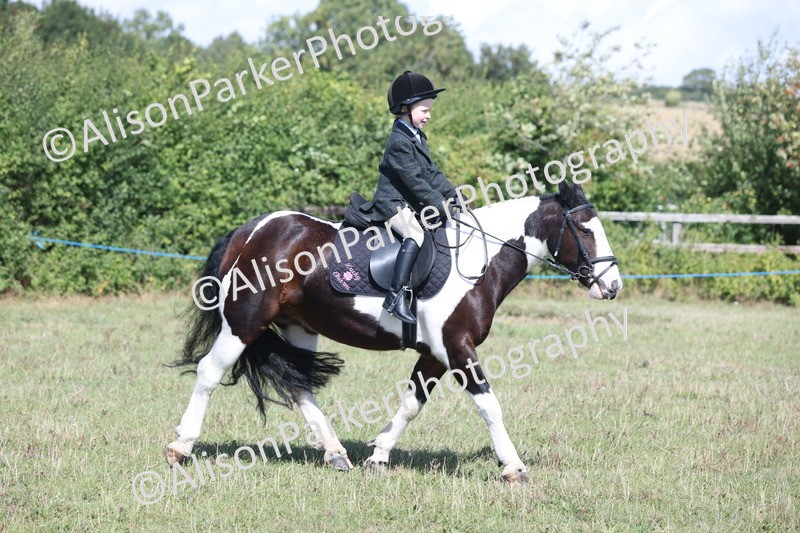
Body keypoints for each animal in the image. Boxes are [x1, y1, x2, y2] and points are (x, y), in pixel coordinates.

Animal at [165, 180, 622, 483]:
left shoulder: (436, 354)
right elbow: (490, 405)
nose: (613, 286)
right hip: (244, 323)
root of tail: (252, 230)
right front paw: (513, 467)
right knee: (209, 372)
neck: (479, 261)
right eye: (585, 230)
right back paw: (180, 448)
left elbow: (411, 404)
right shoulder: (458, 348)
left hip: (299, 328)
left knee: (299, 386)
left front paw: (378, 456)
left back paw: (336, 455)